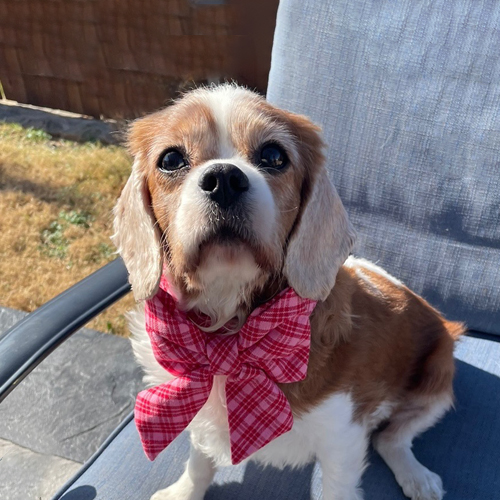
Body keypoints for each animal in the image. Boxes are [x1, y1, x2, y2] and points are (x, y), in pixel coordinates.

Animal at [112, 84, 464, 500]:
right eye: (170, 159)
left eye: (273, 155)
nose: (224, 178)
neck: (231, 324)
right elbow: (200, 460)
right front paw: (184, 492)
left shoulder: (343, 441)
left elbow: (339, 487)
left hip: (437, 380)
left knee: (391, 439)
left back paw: (417, 476)